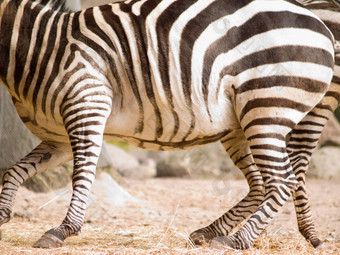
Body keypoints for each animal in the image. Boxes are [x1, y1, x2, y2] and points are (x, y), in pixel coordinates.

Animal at [0, 0, 336, 249]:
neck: (39, 46)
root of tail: (320, 24)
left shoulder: (88, 104)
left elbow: (81, 175)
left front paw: (63, 229)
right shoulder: (58, 137)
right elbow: (15, 171)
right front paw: (3, 213)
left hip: (266, 108)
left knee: (282, 180)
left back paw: (236, 240)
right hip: (242, 123)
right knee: (261, 182)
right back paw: (211, 232)